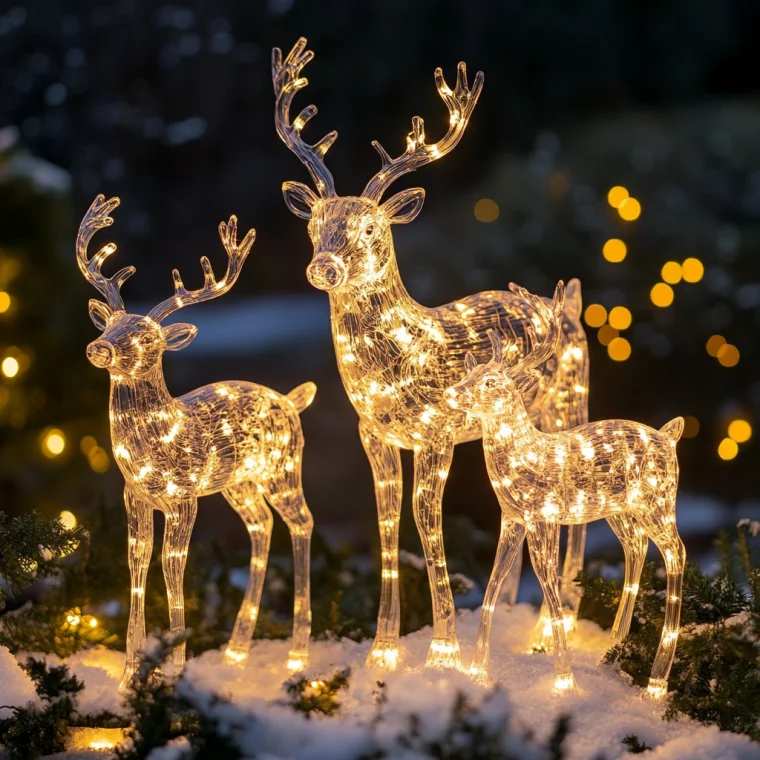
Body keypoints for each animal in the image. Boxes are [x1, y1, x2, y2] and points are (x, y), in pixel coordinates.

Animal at [81, 196, 320, 688]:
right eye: (109, 324)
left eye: (145, 336)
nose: (98, 348)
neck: (152, 446)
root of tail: (291, 400)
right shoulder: (134, 494)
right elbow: (136, 563)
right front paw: (129, 674)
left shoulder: (184, 495)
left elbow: (173, 566)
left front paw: (173, 666)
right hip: (239, 483)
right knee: (261, 527)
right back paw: (236, 650)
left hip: (284, 467)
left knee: (302, 522)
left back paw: (297, 654)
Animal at [276, 38, 592, 668]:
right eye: (315, 226)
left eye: (371, 230)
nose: (323, 267)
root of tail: (568, 304)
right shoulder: (373, 431)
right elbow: (386, 521)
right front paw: (383, 649)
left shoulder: (438, 428)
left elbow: (428, 521)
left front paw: (443, 647)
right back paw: (517, 624)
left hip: (571, 396)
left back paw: (557, 621)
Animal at [448, 282, 684, 696]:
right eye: (469, 374)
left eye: (491, 381)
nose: (451, 393)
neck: (523, 459)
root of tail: (670, 438)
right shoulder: (513, 518)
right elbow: (493, 584)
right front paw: (477, 671)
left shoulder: (543, 517)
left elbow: (550, 587)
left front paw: (566, 681)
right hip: (619, 509)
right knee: (637, 547)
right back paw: (615, 644)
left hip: (658, 500)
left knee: (676, 553)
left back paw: (657, 678)